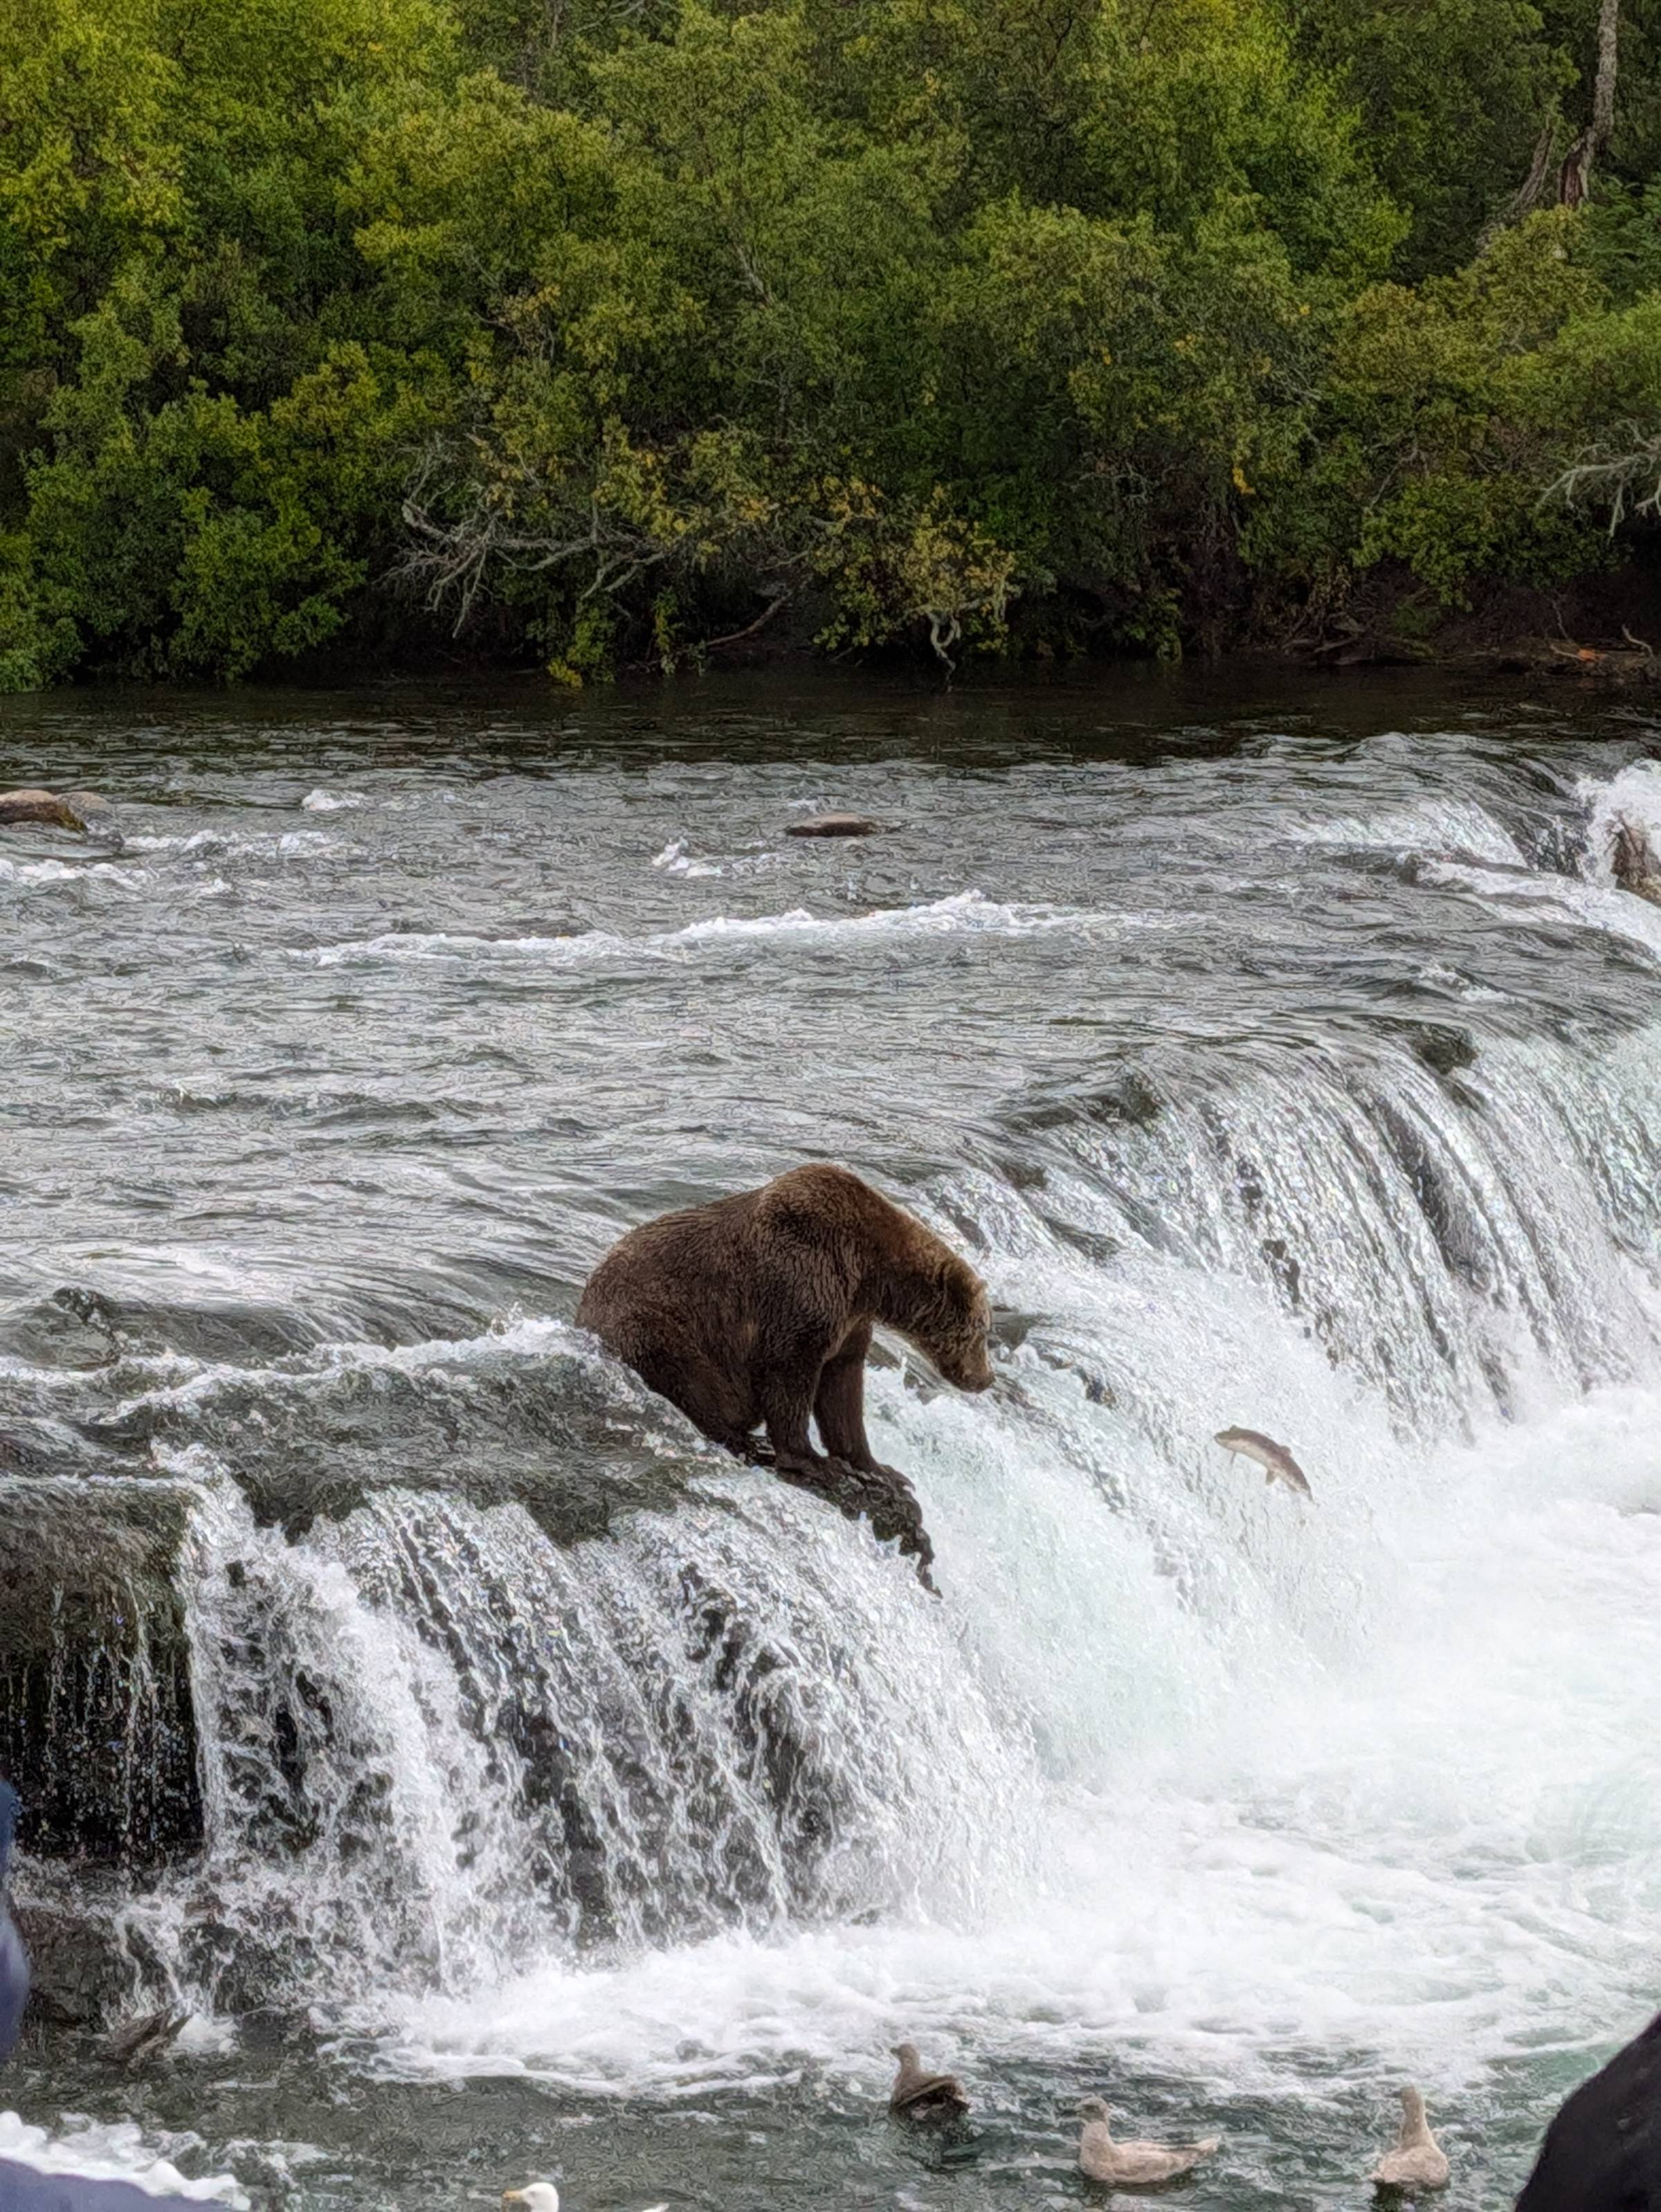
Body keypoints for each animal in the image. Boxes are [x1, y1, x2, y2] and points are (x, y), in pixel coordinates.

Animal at [575, 1163, 994, 1583]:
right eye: (981, 1331)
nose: (985, 1379)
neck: (870, 1274)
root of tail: (582, 1313)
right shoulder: (799, 1288)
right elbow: (788, 1377)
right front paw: (815, 1462)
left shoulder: (848, 1320)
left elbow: (842, 1392)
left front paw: (880, 1470)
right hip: (661, 1327)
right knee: (689, 1380)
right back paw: (746, 1441)